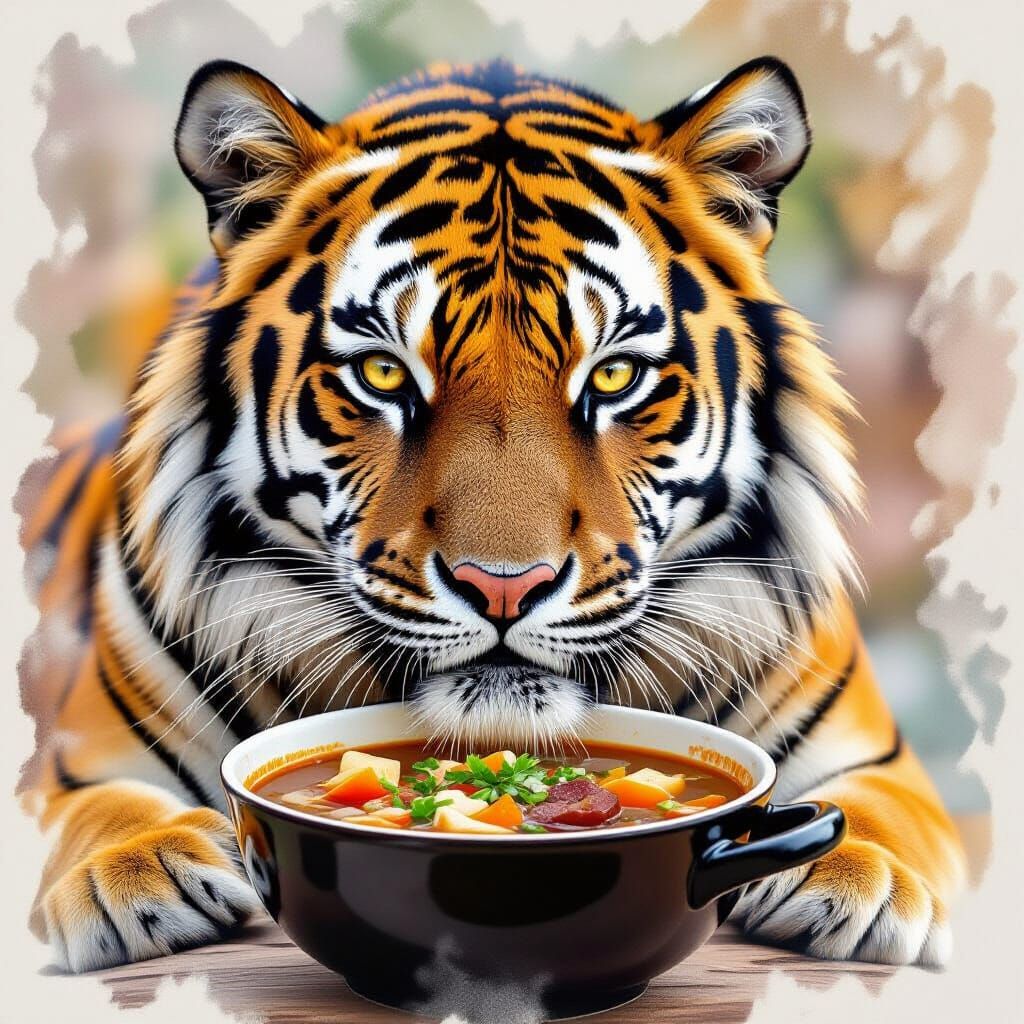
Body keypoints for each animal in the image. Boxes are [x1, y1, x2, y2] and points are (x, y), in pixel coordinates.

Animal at [20, 56, 966, 975]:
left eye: (615, 376)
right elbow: (93, 806)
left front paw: (849, 875)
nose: (505, 587)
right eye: (384, 374)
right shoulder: (78, 758)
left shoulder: (877, 757)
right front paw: (140, 871)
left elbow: (882, 808)